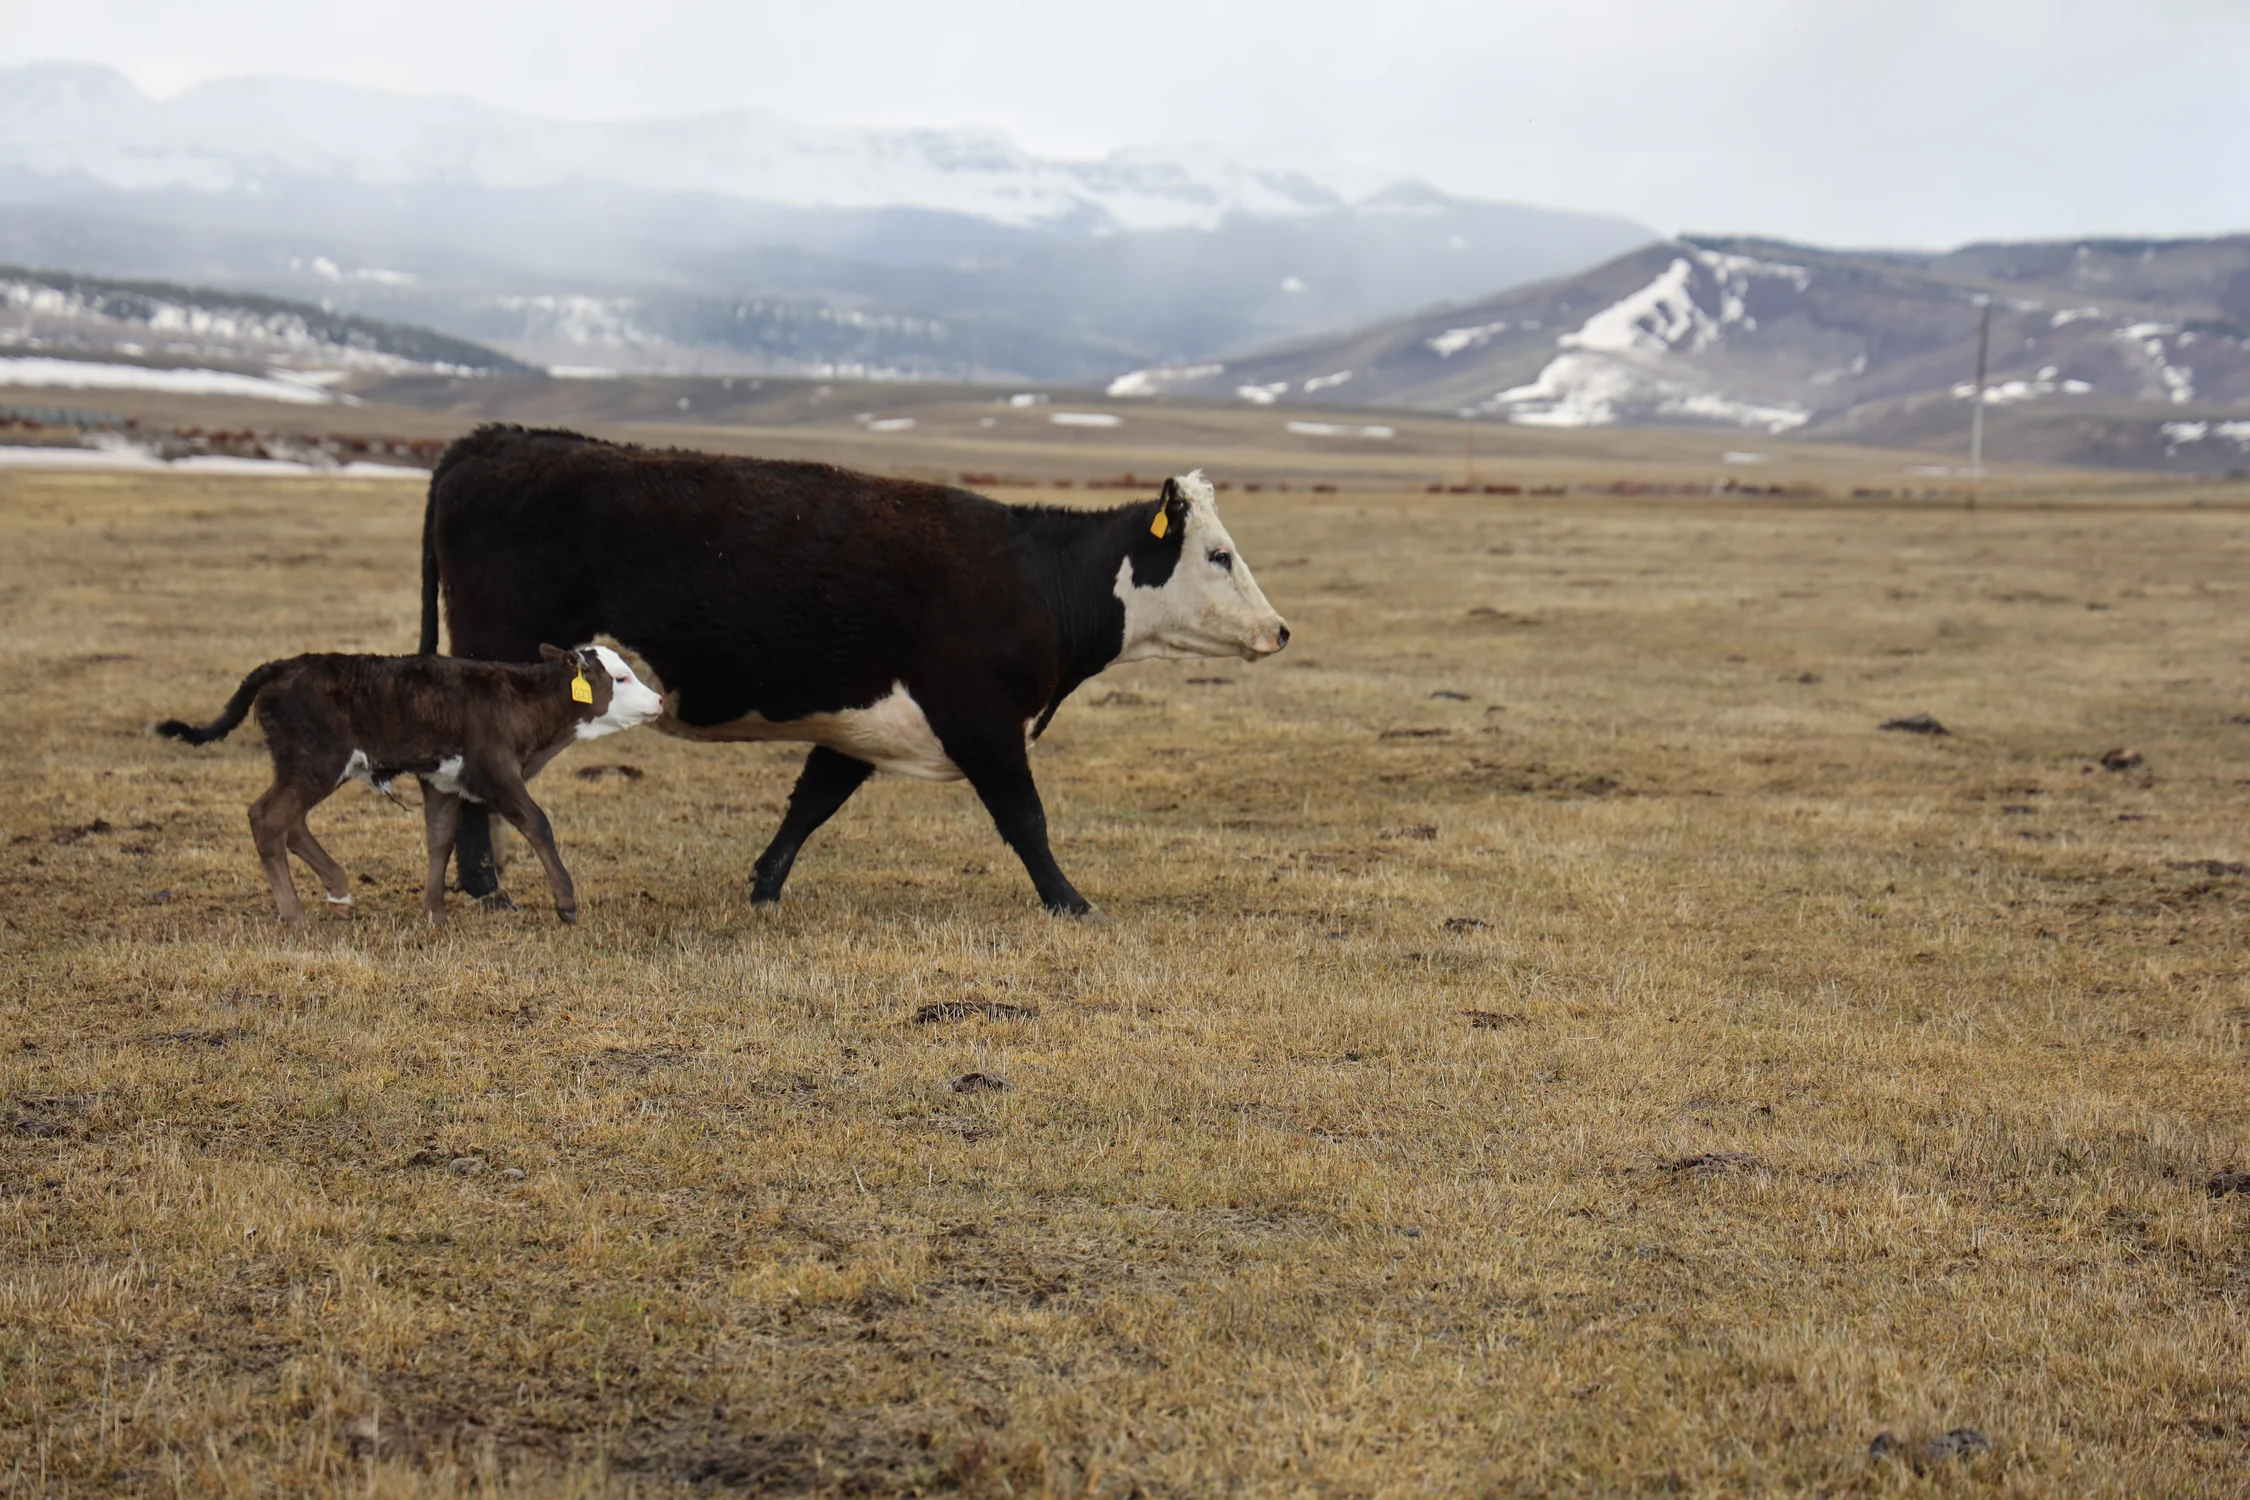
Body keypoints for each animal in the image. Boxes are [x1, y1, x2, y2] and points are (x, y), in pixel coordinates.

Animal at [156, 645, 664, 927]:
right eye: (620, 678)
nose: (659, 700)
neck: (521, 701)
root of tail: (278, 667)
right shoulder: (496, 771)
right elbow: (538, 824)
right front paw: (566, 903)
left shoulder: (442, 780)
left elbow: (440, 839)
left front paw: (435, 912)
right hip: (316, 761)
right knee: (268, 818)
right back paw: (296, 916)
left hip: (306, 766)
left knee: (290, 822)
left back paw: (337, 886)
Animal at [419, 425, 1288, 916]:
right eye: (1219, 555)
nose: (1279, 630)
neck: (1034, 577)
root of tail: (495, 440)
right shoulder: (981, 720)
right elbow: (1025, 819)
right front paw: (1071, 902)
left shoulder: (861, 726)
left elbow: (811, 804)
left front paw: (764, 887)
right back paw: (488, 890)